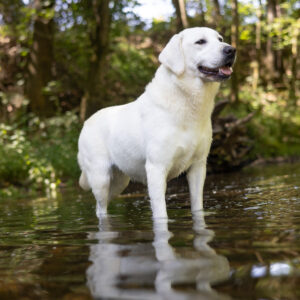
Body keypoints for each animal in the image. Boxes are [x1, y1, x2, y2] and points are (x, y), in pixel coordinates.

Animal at [78, 27, 237, 219]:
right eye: (200, 41)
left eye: (220, 39)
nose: (231, 49)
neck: (187, 103)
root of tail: (86, 123)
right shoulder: (156, 168)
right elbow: (161, 213)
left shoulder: (199, 166)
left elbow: (197, 206)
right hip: (100, 178)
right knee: (100, 208)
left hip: (120, 182)